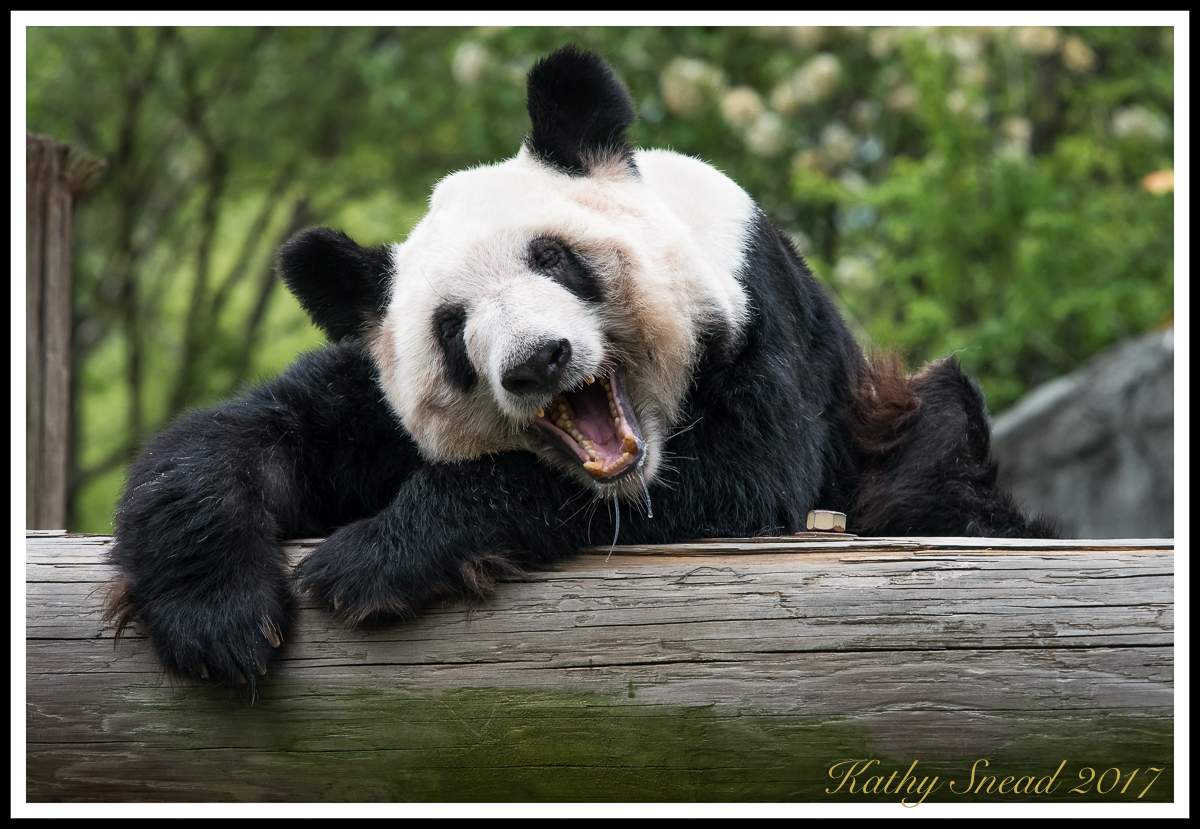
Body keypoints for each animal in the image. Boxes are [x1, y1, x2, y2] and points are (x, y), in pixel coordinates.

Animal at [106, 46, 1055, 689]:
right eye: (452, 328)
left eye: (554, 258)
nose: (537, 360)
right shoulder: (373, 396)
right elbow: (244, 434)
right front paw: (219, 616)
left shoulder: (756, 314)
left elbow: (740, 481)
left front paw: (372, 558)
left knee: (933, 449)